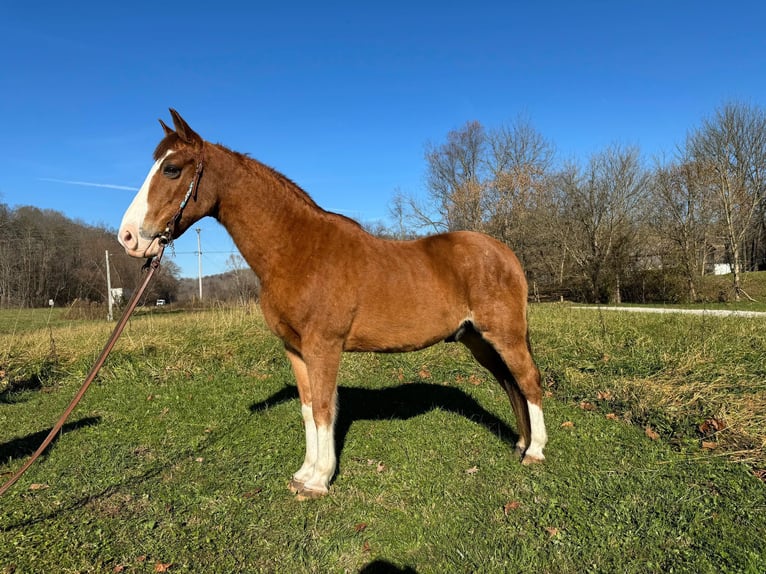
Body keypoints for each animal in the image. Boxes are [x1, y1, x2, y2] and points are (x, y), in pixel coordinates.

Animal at [118, 111, 544, 500]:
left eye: (172, 169)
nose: (128, 238)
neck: (297, 250)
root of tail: (504, 252)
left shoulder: (323, 346)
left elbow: (325, 408)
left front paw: (320, 480)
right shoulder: (295, 349)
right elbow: (308, 409)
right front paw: (304, 473)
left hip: (504, 335)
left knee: (528, 381)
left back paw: (535, 452)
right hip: (476, 340)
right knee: (510, 384)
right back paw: (520, 444)